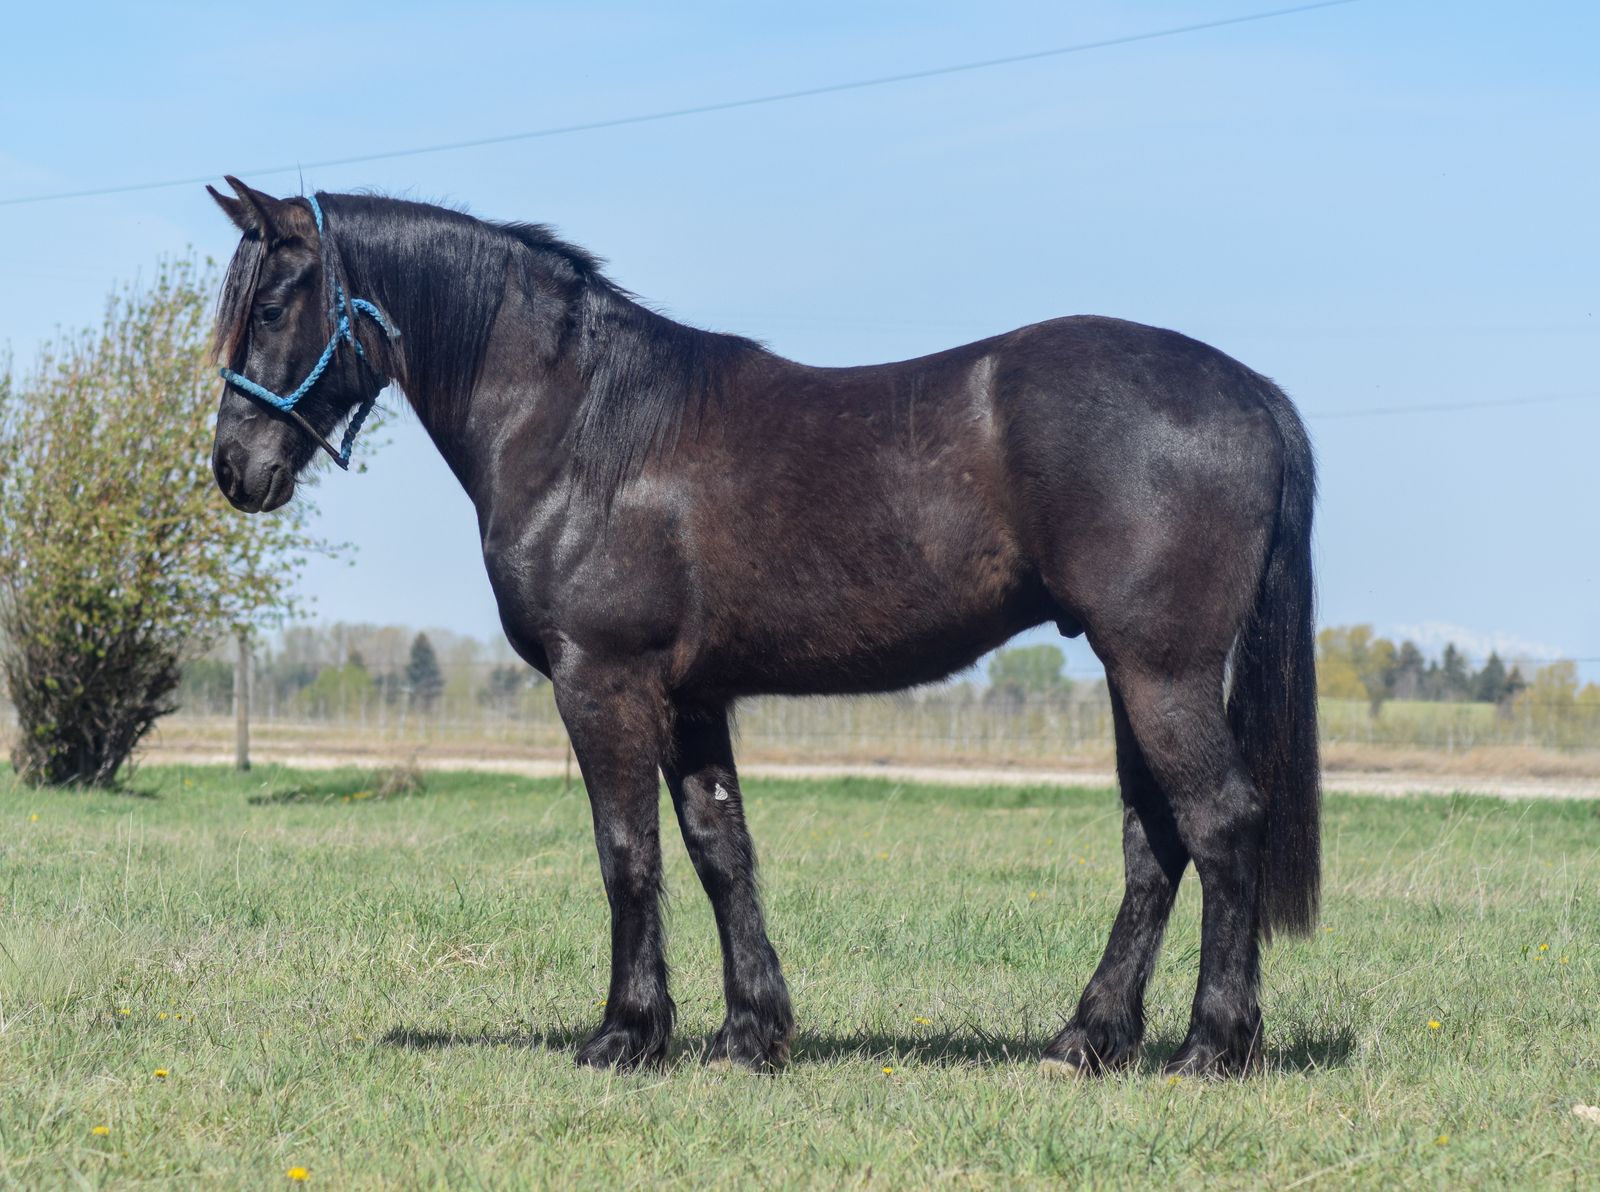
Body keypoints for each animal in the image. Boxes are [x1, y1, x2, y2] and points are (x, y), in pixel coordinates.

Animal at [206, 177, 1320, 1077]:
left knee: (1220, 822)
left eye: (272, 303)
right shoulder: (694, 697)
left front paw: (625, 1034)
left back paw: (1210, 1046)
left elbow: (628, 853)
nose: (234, 469)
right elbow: (718, 849)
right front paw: (748, 1033)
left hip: (1161, 669)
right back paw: (1085, 1038)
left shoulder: (602, 682)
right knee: (1154, 844)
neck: (585, 425)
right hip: (1132, 673)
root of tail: (1251, 392)